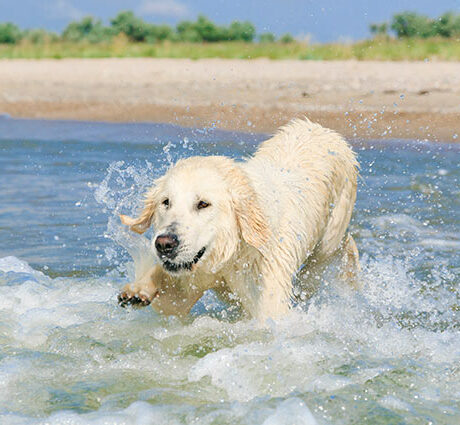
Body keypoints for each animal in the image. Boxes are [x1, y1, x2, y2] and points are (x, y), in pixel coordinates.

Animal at [117, 117, 360, 320]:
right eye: (166, 202)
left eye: (203, 203)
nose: (165, 244)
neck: (233, 250)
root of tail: (322, 129)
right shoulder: (198, 273)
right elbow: (174, 298)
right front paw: (137, 290)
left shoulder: (266, 279)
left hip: (335, 220)